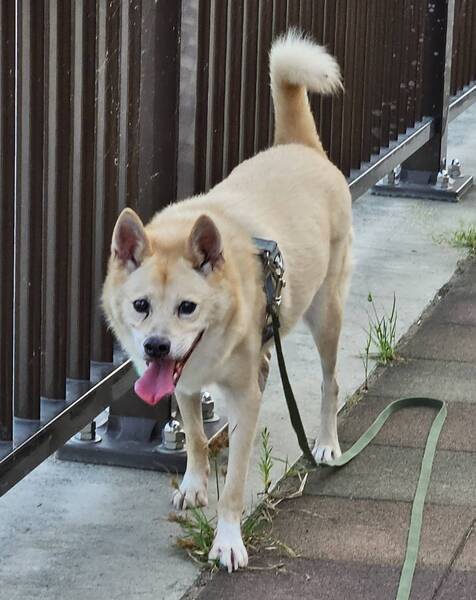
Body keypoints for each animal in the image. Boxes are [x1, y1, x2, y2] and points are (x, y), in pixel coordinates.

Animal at [102, 31, 352, 572]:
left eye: (187, 308)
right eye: (140, 306)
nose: (155, 348)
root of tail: (299, 147)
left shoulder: (238, 399)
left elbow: (234, 484)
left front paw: (228, 540)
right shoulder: (185, 383)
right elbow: (195, 439)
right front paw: (194, 485)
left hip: (327, 314)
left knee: (330, 382)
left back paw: (325, 442)